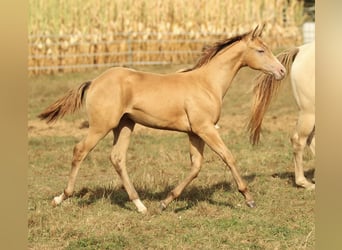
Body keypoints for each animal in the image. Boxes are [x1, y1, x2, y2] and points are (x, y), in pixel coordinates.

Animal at [38, 25, 284, 213]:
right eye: (261, 50)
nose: (281, 71)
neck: (207, 83)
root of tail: (95, 81)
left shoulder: (194, 132)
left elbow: (196, 166)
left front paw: (166, 202)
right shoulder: (205, 128)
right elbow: (228, 157)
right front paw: (249, 198)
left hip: (125, 125)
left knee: (117, 158)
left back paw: (140, 205)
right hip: (101, 125)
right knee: (80, 150)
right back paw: (60, 197)